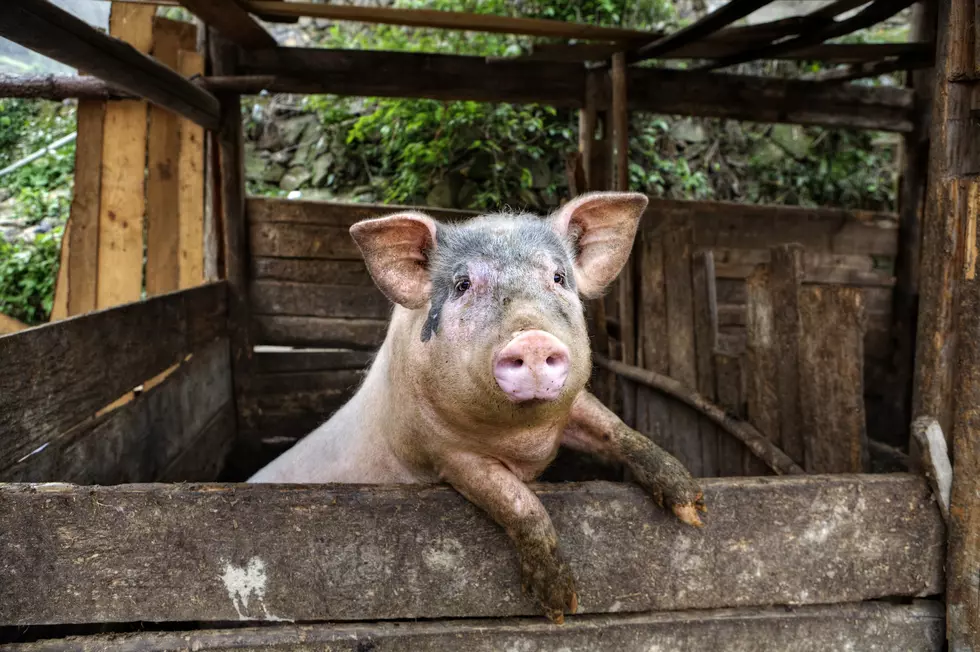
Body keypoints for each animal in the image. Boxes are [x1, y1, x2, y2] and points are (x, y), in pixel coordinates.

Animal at [247, 191, 704, 624]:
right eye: (463, 284)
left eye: (558, 277)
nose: (532, 340)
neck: (521, 438)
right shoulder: (445, 454)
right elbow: (515, 500)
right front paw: (561, 607)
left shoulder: (572, 402)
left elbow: (615, 428)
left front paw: (693, 511)